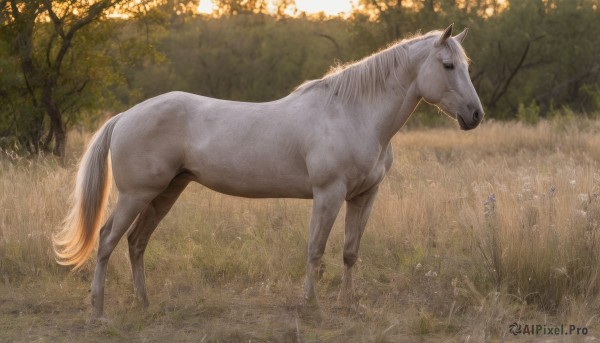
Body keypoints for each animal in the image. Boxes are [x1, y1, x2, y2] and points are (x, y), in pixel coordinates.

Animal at [51, 23, 482, 320]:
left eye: (465, 65)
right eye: (447, 65)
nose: (475, 115)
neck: (353, 113)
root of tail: (125, 115)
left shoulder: (364, 196)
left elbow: (349, 252)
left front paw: (348, 304)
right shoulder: (328, 194)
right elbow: (315, 250)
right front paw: (312, 306)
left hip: (166, 192)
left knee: (136, 242)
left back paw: (144, 303)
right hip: (136, 195)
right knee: (107, 240)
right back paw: (98, 310)